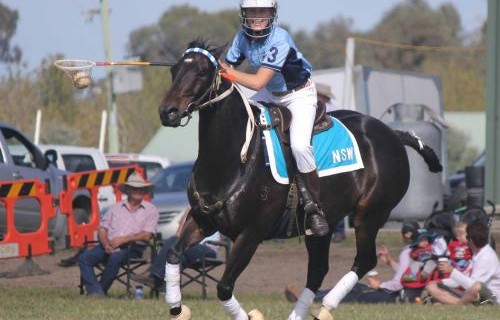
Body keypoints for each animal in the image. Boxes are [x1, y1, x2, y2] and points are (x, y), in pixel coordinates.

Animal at [157, 40, 442, 320]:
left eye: (202, 72)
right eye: (174, 70)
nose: (167, 112)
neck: (233, 161)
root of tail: (393, 134)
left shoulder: (251, 233)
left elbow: (224, 286)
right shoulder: (200, 220)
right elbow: (173, 254)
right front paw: (176, 307)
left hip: (371, 214)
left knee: (364, 260)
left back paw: (325, 307)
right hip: (326, 223)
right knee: (317, 270)